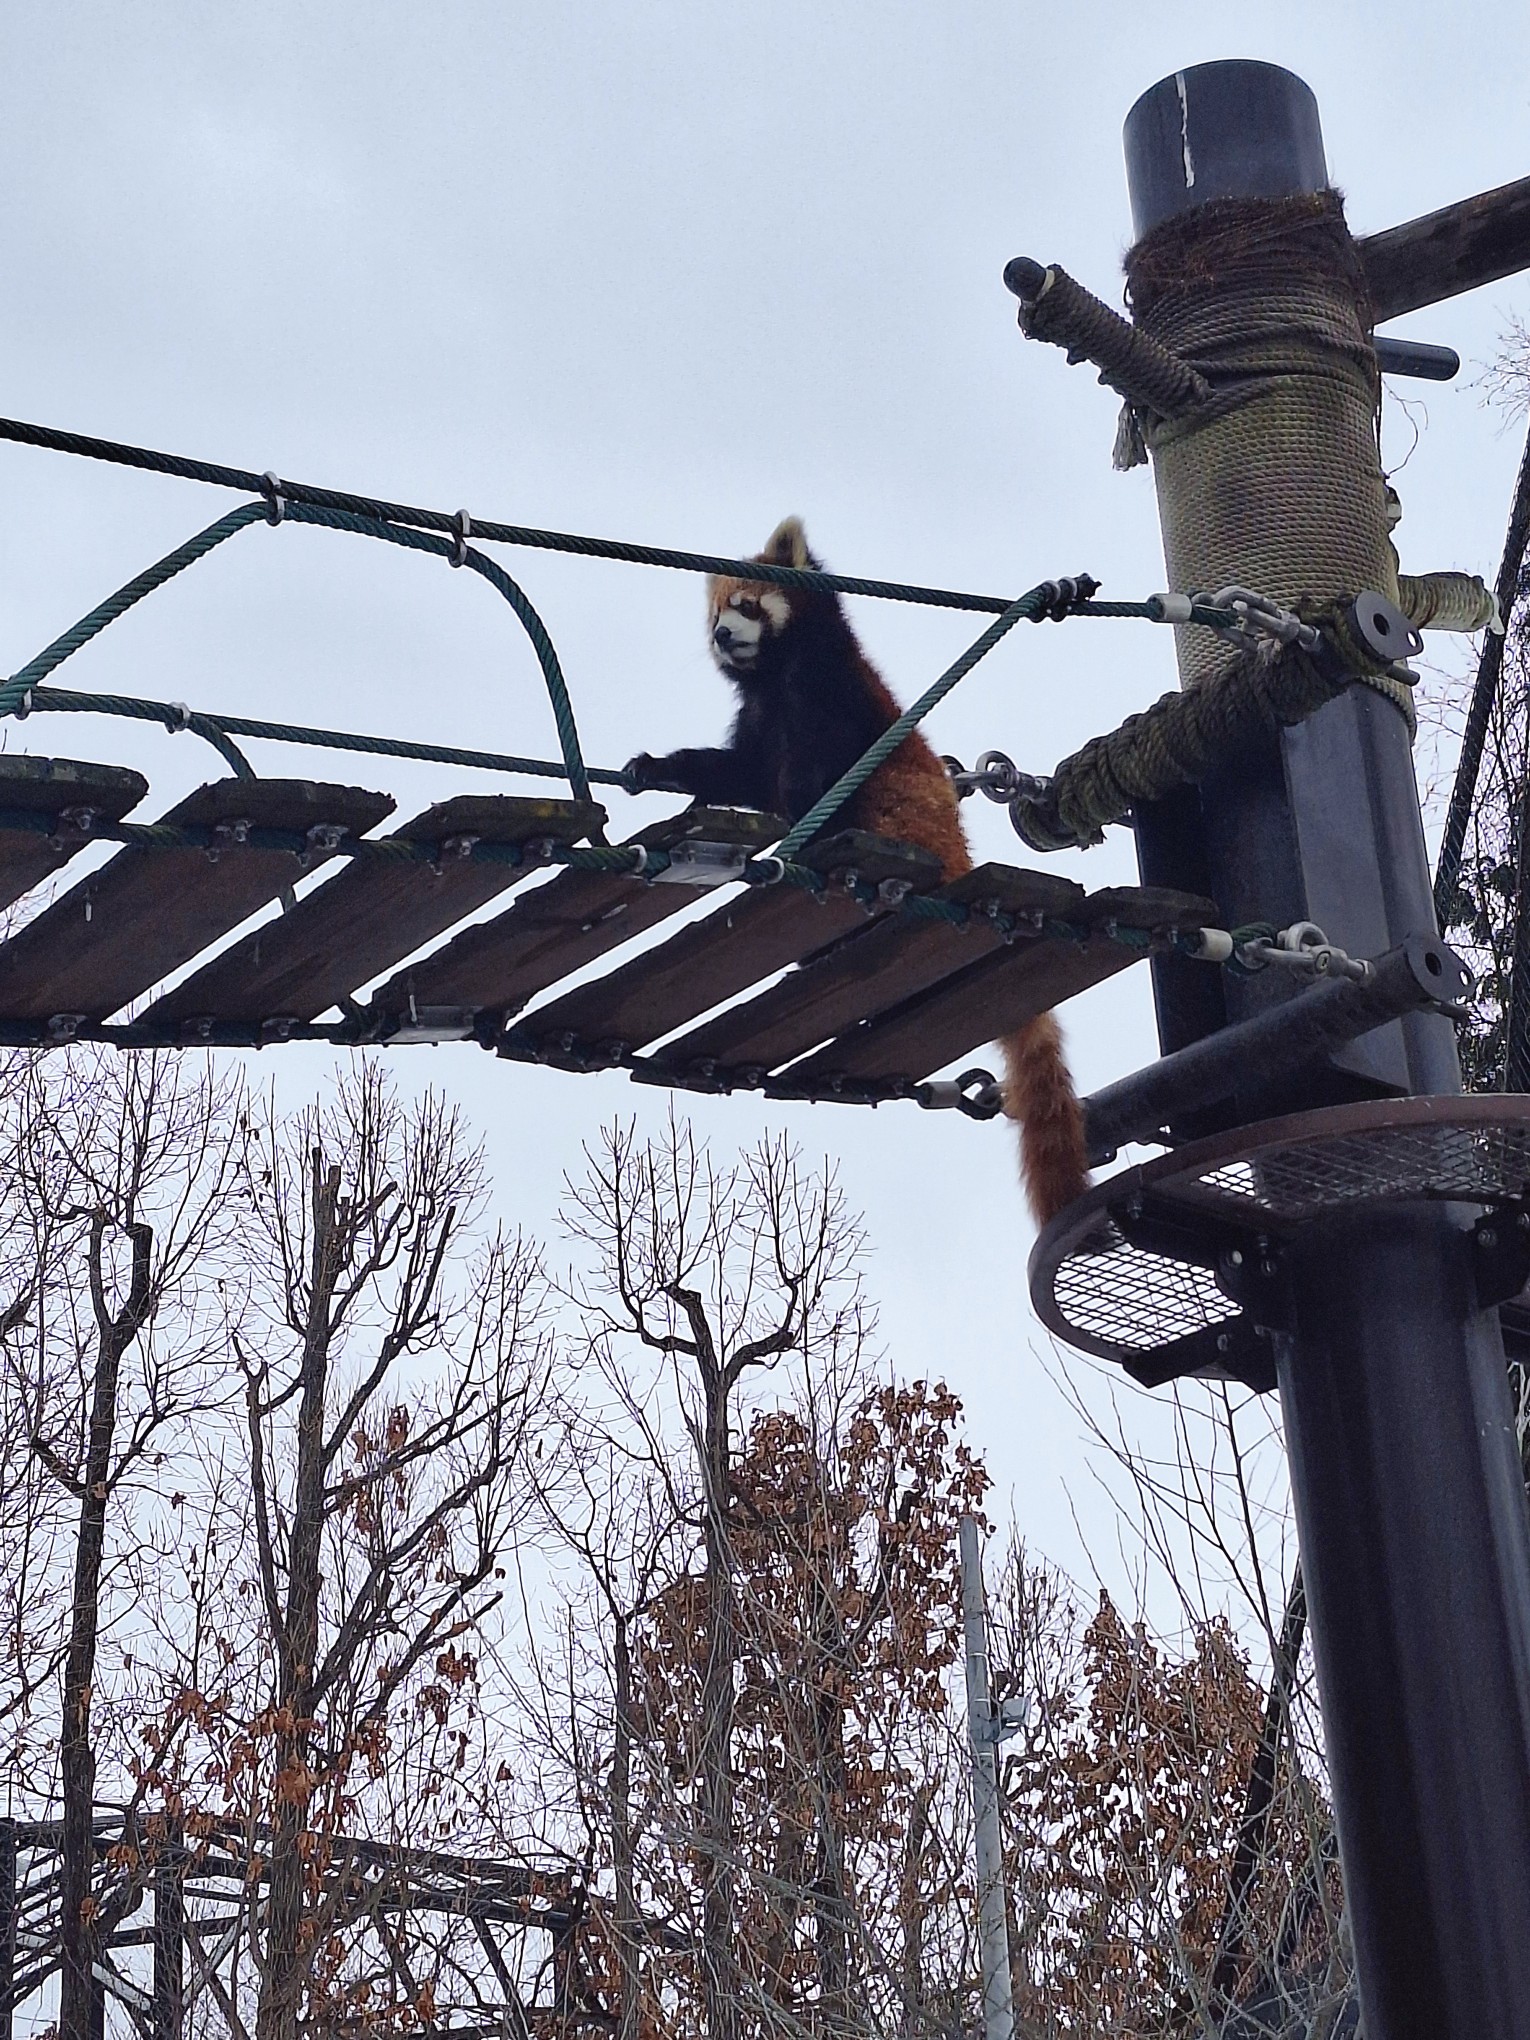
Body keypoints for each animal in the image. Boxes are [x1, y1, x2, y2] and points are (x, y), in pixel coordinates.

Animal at [628, 518, 1093, 1232]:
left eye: (747, 606)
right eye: (714, 614)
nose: (722, 637)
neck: (776, 678)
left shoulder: (831, 704)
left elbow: (808, 780)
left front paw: (792, 821)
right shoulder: (760, 725)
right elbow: (737, 771)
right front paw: (657, 767)